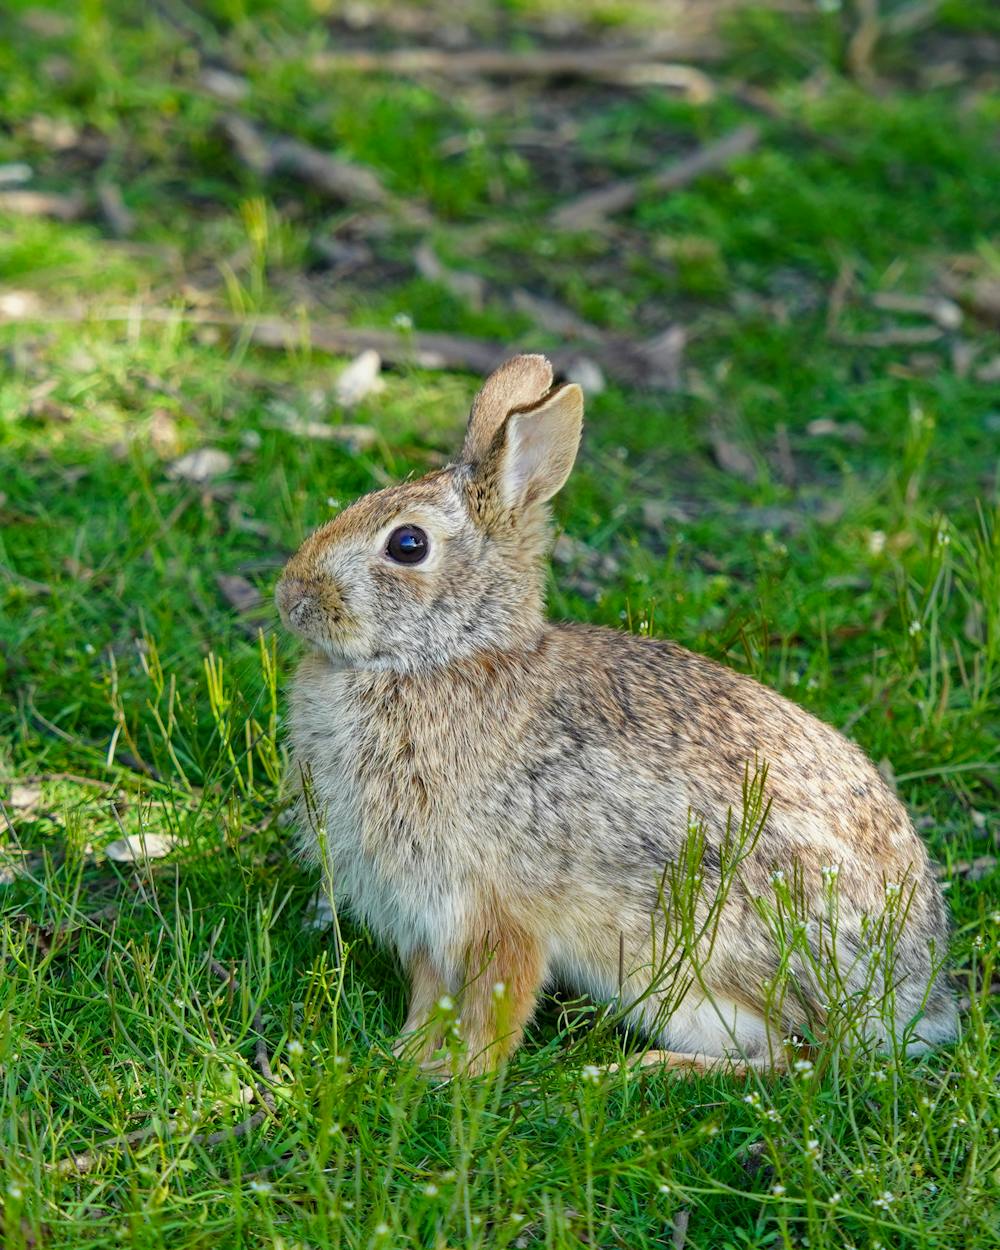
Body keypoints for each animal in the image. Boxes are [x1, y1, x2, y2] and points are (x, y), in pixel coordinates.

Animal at [277, 352, 955, 1075]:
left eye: (407, 544)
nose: (290, 595)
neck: (444, 658)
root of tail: (914, 995)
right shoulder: (427, 923)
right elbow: (431, 996)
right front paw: (405, 1056)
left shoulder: (497, 908)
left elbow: (498, 1001)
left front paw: (461, 1077)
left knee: (803, 1055)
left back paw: (646, 1067)